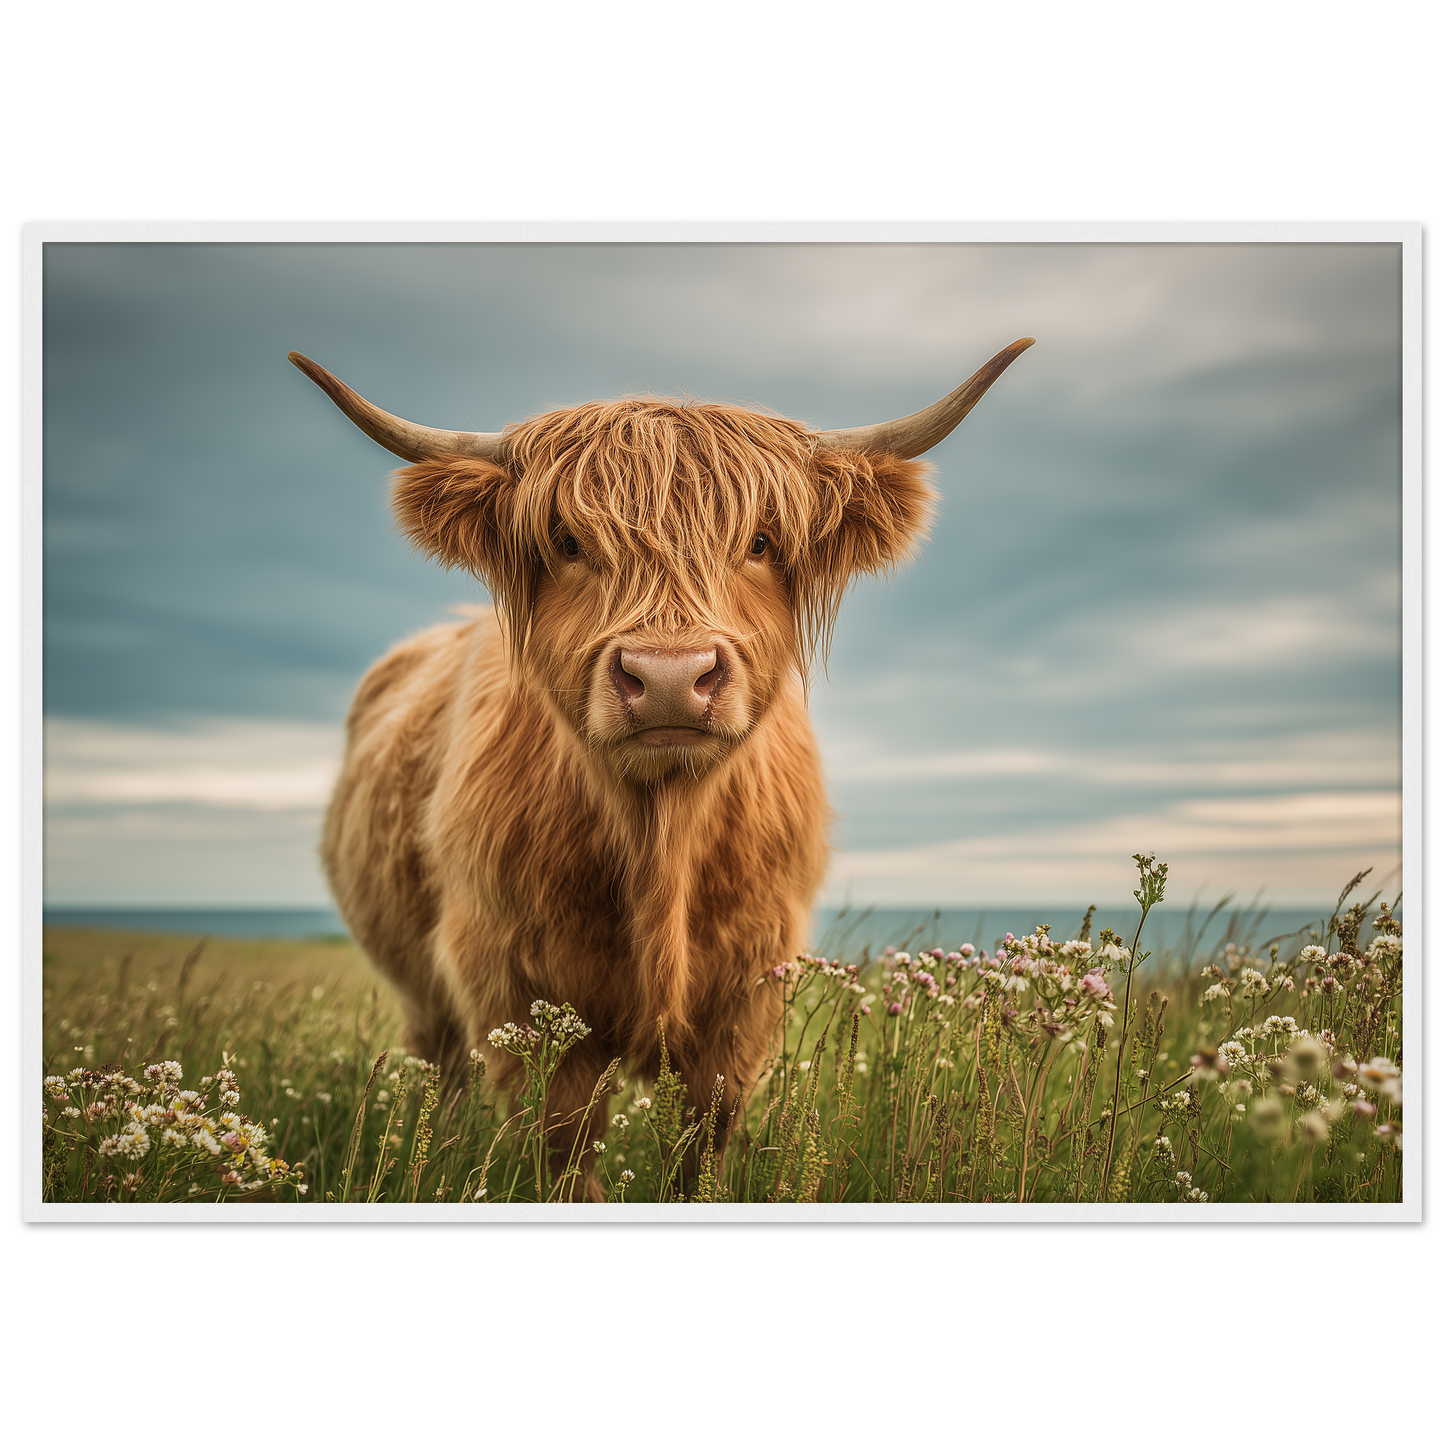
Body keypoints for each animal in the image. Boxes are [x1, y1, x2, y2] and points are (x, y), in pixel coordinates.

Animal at [291, 339, 1033, 1198]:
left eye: (759, 542)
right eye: (568, 542)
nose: (671, 676)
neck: (662, 833)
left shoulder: (745, 994)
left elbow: (704, 1138)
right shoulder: (514, 985)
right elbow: (564, 1145)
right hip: (424, 996)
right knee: (438, 1072)